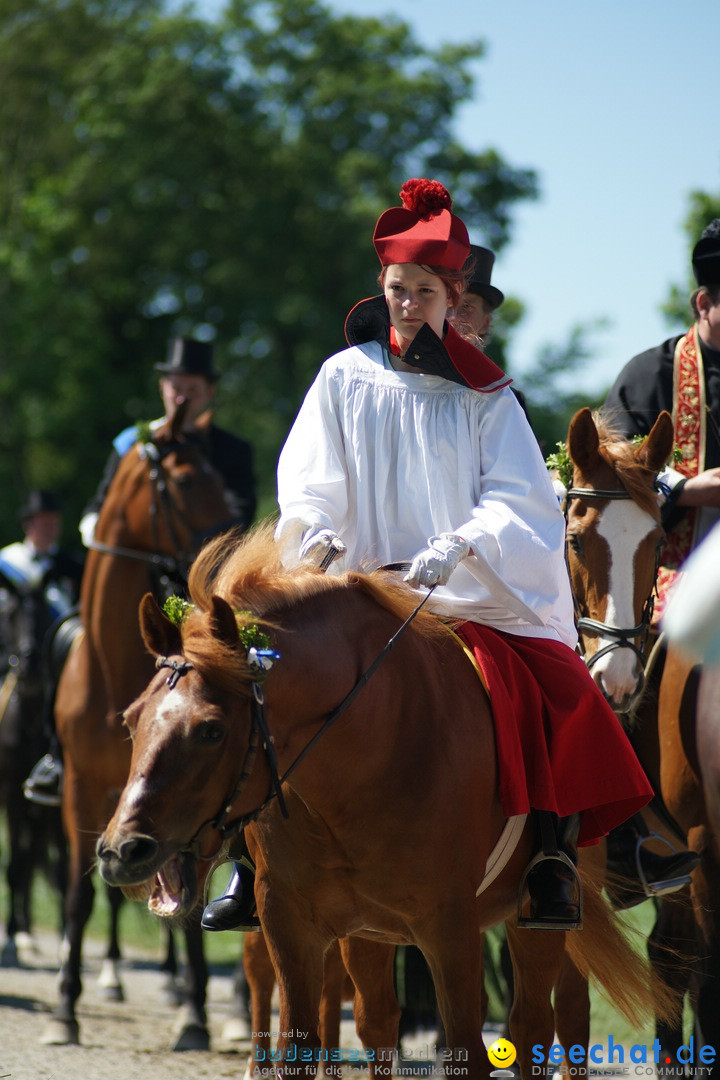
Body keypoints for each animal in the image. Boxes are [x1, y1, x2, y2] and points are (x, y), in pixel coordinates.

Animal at [42, 403, 239, 1045]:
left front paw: (195, 1014)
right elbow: (80, 896)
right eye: (186, 480)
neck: (115, 667)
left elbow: (189, 898)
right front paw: (65, 1008)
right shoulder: (81, 791)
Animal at [95, 524, 677, 1080]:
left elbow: (469, 1051)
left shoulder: (449, 929)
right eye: (131, 719)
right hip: (368, 932)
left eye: (211, 730)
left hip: (538, 916)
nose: (122, 851)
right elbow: (301, 1050)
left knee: (539, 1024)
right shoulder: (292, 926)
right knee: (378, 1021)